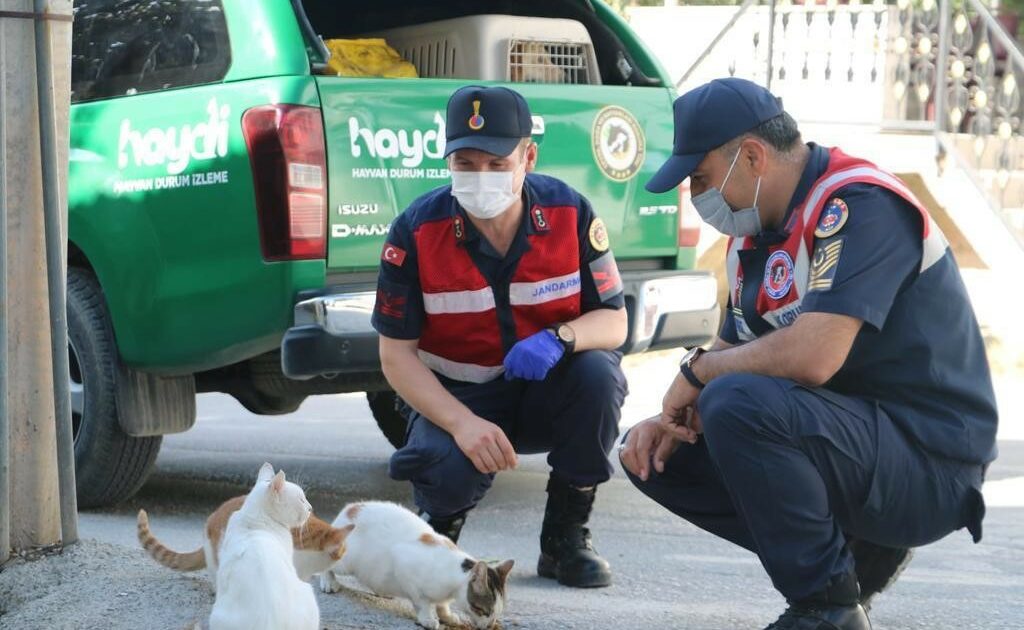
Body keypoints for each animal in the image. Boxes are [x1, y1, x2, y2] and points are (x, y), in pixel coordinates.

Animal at [319, 501, 512, 630]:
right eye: (483, 610)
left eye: (497, 612)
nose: (490, 625)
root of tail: (351, 508)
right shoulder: (404, 563)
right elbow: (422, 600)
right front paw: (428, 618)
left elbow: (442, 605)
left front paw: (447, 615)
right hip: (346, 561)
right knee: (326, 563)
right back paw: (328, 582)